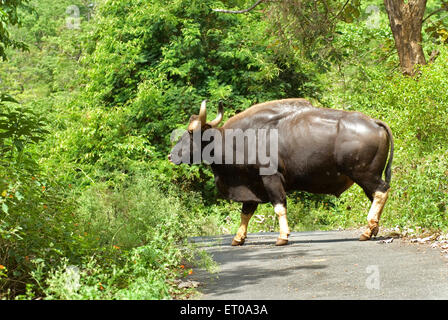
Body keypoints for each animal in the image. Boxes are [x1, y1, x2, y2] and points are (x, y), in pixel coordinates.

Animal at [170, 99, 394, 246]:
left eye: (190, 132)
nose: (171, 155)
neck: (243, 139)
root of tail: (374, 122)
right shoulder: (252, 184)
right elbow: (246, 212)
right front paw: (238, 238)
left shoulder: (271, 179)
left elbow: (279, 207)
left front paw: (282, 236)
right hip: (367, 177)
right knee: (377, 196)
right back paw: (373, 230)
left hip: (364, 174)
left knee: (382, 191)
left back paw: (367, 230)